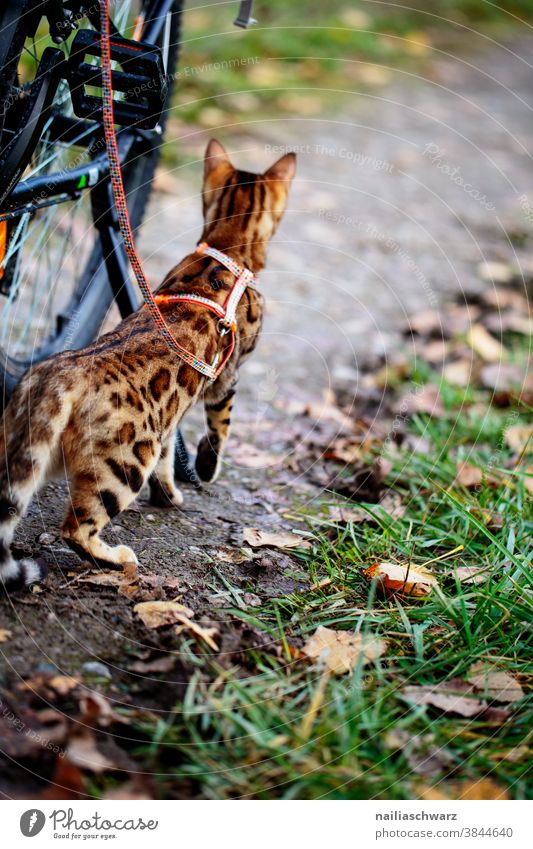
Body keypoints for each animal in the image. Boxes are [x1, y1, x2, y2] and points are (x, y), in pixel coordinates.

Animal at [0, 141, 296, 588]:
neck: (227, 248)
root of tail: (58, 372)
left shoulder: (169, 416)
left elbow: (169, 459)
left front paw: (168, 493)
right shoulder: (226, 378)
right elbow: (219, 430)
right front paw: (204, 468)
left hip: (26, 443)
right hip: (125, 461)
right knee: (76, 528)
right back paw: (118, 558)